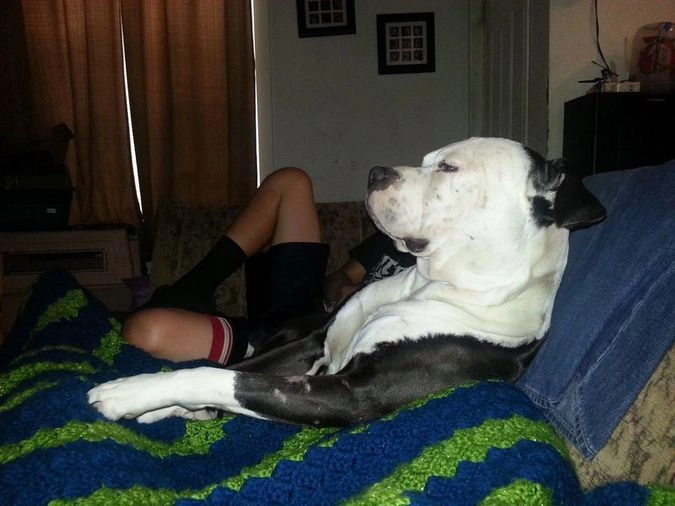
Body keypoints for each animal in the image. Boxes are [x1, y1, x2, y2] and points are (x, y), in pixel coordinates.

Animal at [88, 137, 605, 427]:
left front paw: (128, 393)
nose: (376, 171)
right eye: (429, 159)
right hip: (292, 329)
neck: (429, 281)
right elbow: (233, 369)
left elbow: (221, 377)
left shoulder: (351, 395)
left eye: (449, 168)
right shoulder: (311, 343)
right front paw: (153, 401)